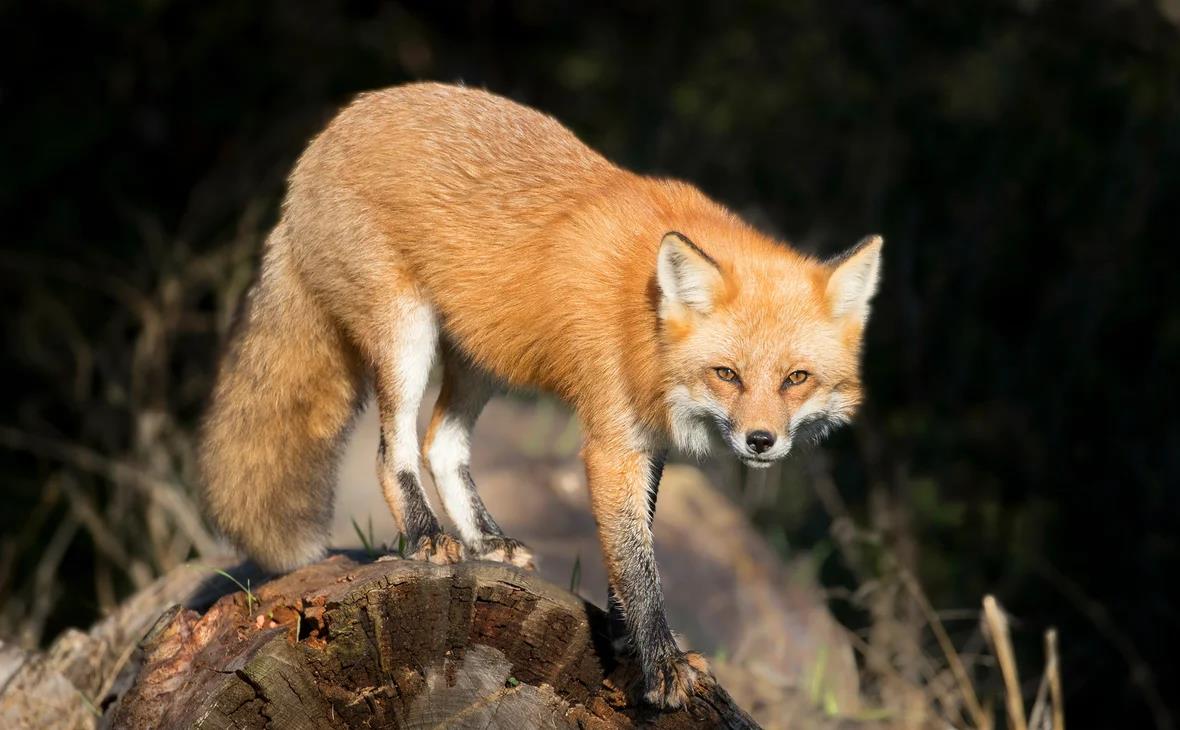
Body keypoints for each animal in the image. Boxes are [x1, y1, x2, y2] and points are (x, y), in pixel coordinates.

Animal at [200, 82, 887, 712]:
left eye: (795, 379)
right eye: (727, 374)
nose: (760, 441)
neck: (647, 315)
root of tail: (333, 129)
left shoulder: (647, 443)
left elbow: (630, 547)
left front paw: (624, 640)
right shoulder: (611, 441)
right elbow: (639, 563)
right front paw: (662, 663)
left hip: (482, 357)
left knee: (441, 444)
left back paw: (485, 541)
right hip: (407, 338)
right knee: (394, 449)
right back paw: (426, 537)